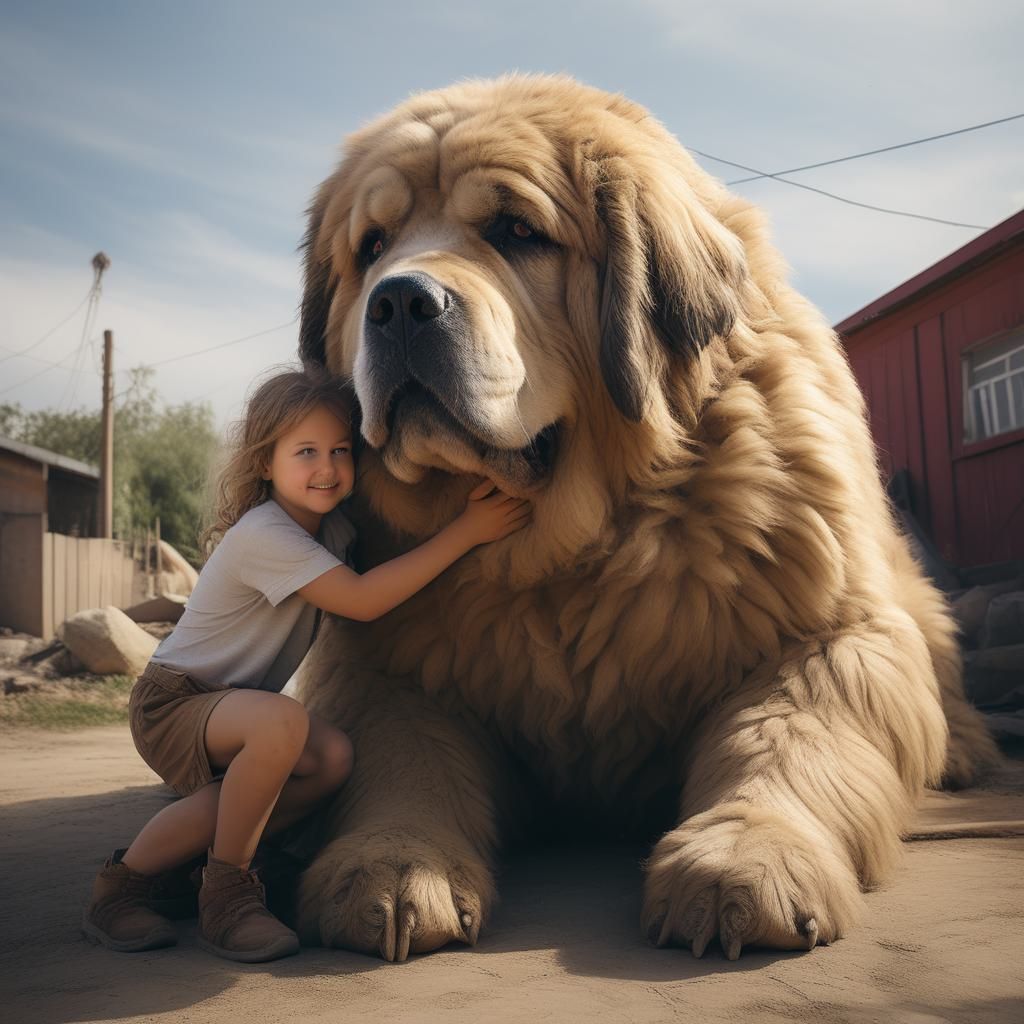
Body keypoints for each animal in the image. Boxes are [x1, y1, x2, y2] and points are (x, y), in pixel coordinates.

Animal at [292, 75, 995, 962]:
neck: (567, 543)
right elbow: (403, 756)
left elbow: (787, 731)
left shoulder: (830, 633)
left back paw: (962, 746)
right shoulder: (386, 668)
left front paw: (749, 854)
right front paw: (390, 861)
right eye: (373, 246)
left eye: (516, 232)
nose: (398, 302)